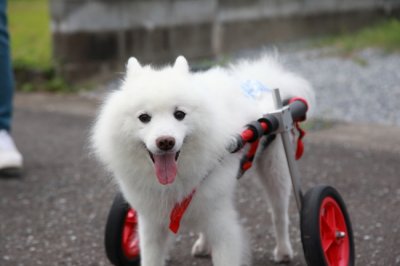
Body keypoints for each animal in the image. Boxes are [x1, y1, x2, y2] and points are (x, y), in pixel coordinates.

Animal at [92, 54, 314, 266]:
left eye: (179, 114)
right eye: (144, 117)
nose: (165, 141)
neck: (174, 183)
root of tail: (261, 80)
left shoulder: (222, 224)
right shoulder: (151, 223)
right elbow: (151, 258)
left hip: (276, 168)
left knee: (279, 213)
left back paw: (283, 251)